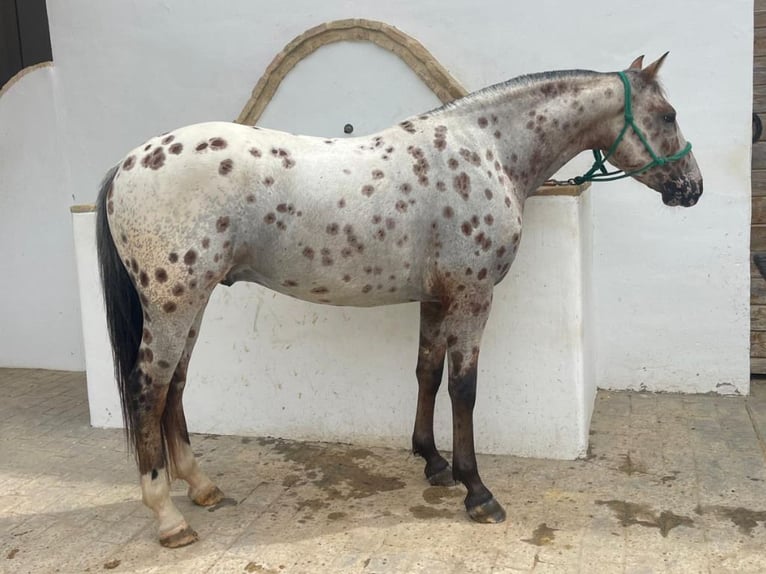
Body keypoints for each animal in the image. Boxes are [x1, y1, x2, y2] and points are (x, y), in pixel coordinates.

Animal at [97, 55, 708, 548]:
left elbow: (427, 373)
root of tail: (130, 162)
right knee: (148, 389)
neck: (484, 150)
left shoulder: (436, 298)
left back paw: (201, 487)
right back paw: (168, 517)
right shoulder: (472, 295)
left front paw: (432, 461)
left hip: (192, 304)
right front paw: (476, 490)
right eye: (669, 114)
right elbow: (464, 389)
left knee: (174, 386)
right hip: (173, 304)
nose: (693, 188)